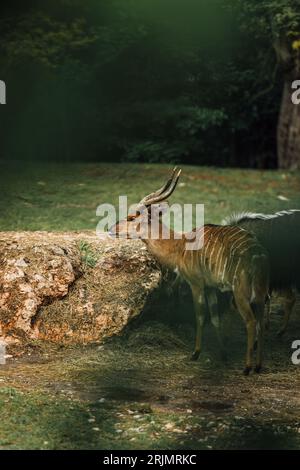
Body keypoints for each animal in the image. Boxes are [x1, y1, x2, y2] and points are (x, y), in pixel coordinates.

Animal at [108, 168, 270, 374]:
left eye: (131, 217)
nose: (111, 228)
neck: (180, 246)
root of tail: (258, 254)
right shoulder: (210, 287)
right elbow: (215, 318)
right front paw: (223, 354)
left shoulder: (196, 283)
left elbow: (200, 316)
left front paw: (195, 353)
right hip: (260, 292)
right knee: (261, 322)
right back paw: (258, 365)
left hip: (240, 291)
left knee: (250, 321)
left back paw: (247, 367)